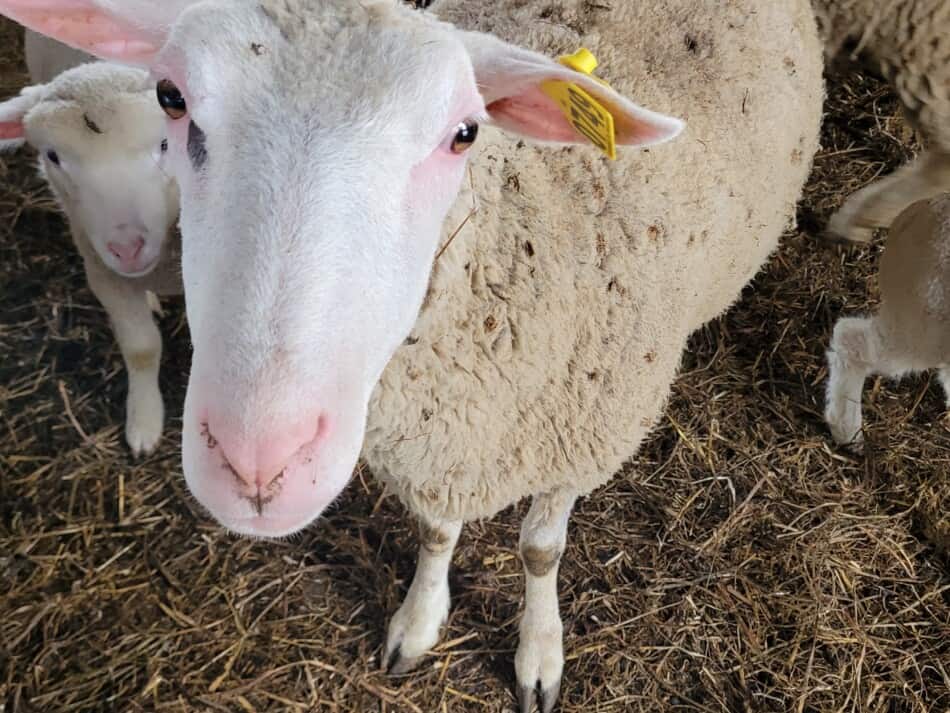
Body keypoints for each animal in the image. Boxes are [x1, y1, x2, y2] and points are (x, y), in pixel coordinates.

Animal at [0, 57, 181, 456]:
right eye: (53, 156)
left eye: (165, 144)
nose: (128, 248)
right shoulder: (104, 276)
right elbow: (142, 348)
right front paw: (144, 421)